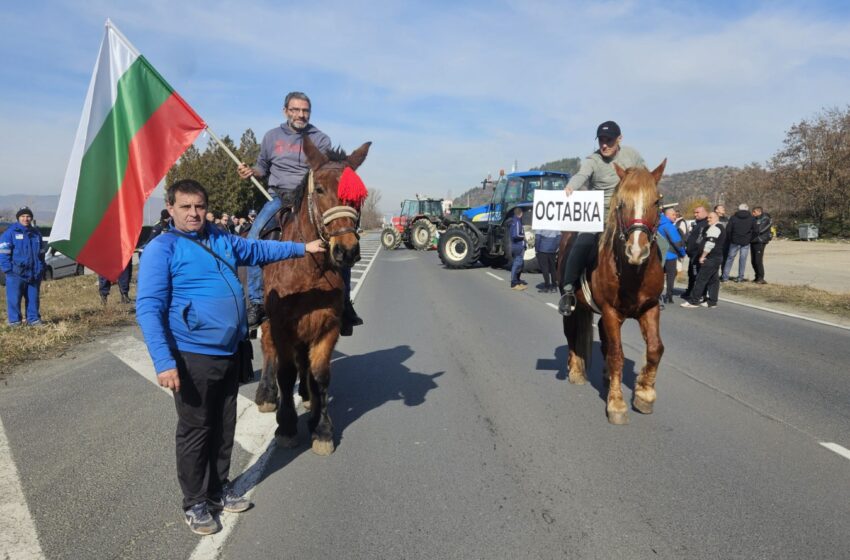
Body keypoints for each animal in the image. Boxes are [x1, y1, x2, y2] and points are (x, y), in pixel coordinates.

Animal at [253, 137, 370, 456]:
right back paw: (267, 394)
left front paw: (322, 428)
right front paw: (287, 425)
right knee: (269, 348)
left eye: (358, 196)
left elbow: (320, 375)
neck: (307, 269)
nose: (347, 250)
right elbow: (285, 371)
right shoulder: (281, 325)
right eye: (319, 189)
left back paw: (306, 397)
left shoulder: (327, 325)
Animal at [556, 161, 668, 424]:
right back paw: (576, 371)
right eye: (621, 203)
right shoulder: (609, 311)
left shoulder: (650, 308)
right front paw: (617, 404)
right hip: (574, 308)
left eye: (656, 202)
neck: (632, 272)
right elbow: (617, 354)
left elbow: (655, 349)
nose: (636, 251)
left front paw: (644, 394)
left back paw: (606, 376)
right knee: (571, 336)